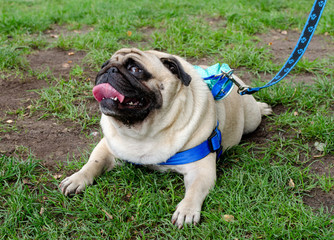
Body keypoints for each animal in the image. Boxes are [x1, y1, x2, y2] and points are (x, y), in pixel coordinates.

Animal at [59, 47, 272, 228]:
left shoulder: (201, 170)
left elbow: (194, 190)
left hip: (251, 119)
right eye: (104, 64)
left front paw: (186, 210)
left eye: (135, 69)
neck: (145, 131)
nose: (109, 70)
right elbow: (93, 163)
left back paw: (262, 107)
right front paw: (77, 178)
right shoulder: (107, 146)